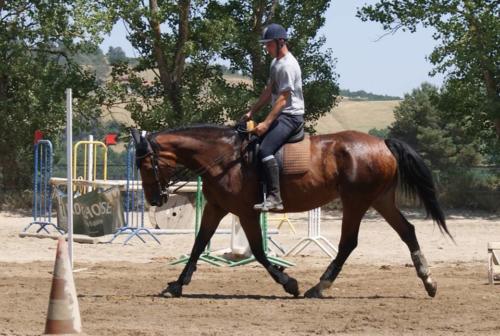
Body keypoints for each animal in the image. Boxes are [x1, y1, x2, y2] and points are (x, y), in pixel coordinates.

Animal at [131, 124, 452, 298]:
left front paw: (290, 283)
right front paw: (176, 285)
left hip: (357, 201)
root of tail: (383, 143)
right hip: (380, 199)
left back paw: (319, 287)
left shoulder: (246, 212)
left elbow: (259, 252)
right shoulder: (217, 207)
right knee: (407, 231)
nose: (155, 199)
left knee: (348, 243)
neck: (224, 158)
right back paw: (429, 281)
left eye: (145, 164)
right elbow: (198, 244)